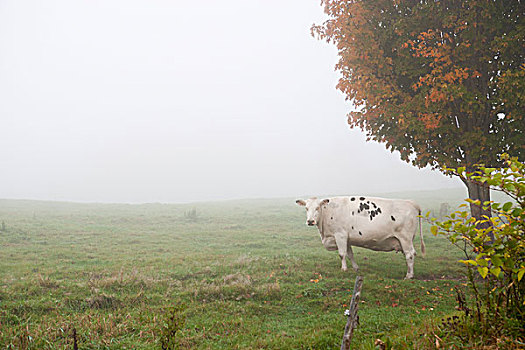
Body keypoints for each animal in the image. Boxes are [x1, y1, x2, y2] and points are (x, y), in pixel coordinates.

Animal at [294, 197, 426, 278]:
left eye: (317, 208)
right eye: (306, 208)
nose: (310, 221)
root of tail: (412, 203)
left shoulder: (340, 235)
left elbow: (342, 254)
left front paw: (344, 269)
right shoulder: (346, 238)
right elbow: (350, 254)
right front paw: (355, 268)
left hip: (405, 238)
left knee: (410, 254)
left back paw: (409, 276)